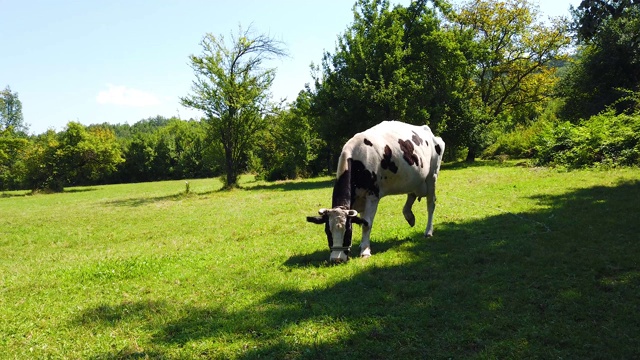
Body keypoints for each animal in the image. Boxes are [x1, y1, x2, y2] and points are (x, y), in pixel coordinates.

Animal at [306, 121, 444, 262]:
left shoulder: (372, 196)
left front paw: (365, 251)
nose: (336, 259)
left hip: (432, 176)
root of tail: (427, 130)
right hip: (413, 179)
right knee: (411, 196)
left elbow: (366, 224)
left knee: (430, 204)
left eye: (348, 231)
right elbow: (361, 220)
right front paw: (362, 244)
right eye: (328, 232)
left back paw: (428, 231)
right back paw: (409, 217)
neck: (358, 160)